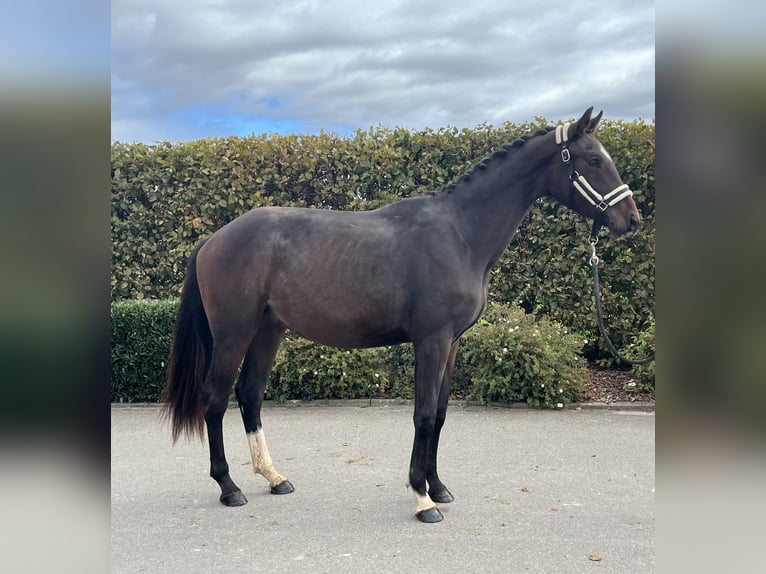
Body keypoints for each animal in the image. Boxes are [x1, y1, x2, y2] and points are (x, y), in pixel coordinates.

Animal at [163, 107, 641, 523]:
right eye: (594, 160)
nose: (632, 220)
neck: (459, 234)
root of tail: (214, 239)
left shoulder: (451, 343)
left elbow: (441, 413)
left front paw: (438, 486)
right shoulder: (431, 340)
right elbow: (424, 414)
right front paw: (422, 498)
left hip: (268, 330)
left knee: (250, 395)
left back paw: (274, 477)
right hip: (233, 334)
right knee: (215, 399)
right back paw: (229, 488)